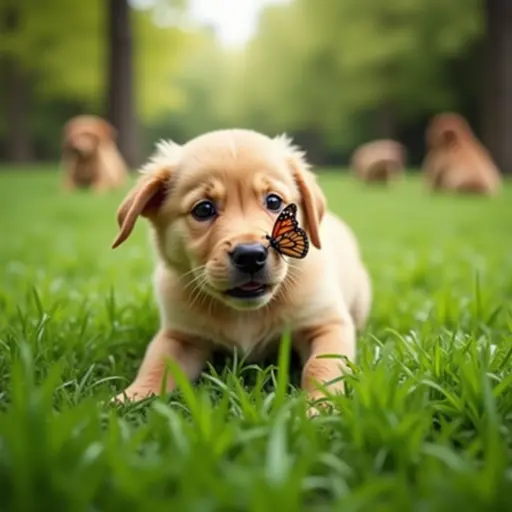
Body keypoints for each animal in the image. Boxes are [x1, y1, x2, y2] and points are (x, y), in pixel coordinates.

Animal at [111, 130, 372, 414]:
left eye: (273, 201)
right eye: (203, 209)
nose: (250, 256)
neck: (245, 314)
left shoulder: (326, 324)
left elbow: (322, 365)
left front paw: (320, 406)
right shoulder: (182, 335)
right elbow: (156, 366)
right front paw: (129, 399)